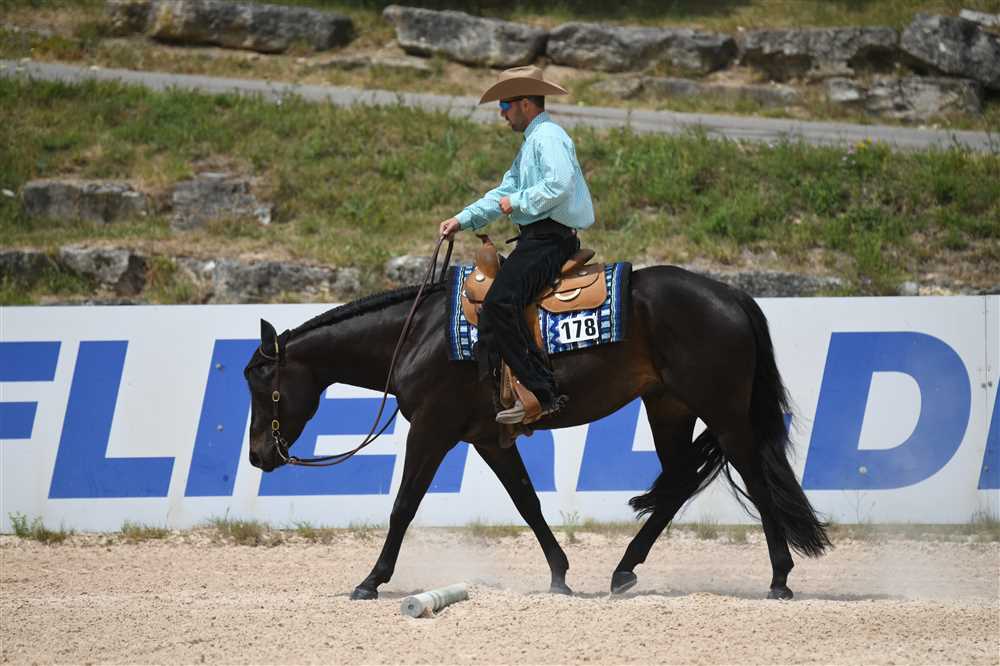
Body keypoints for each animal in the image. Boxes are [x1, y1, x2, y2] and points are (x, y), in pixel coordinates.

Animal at [243, 264, 831, 600]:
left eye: (261, 383)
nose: (258, 456)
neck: (419, 335)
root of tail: (733, 296)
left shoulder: (432, 429)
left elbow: (404, 505)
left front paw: (371, 580)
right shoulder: (487, 438)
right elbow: (527, 502)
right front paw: (560, 575)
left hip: (723, 412)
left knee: (753, 477)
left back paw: (780, 577)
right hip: (669, 407)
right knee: (677, 485)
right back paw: (623, 572)